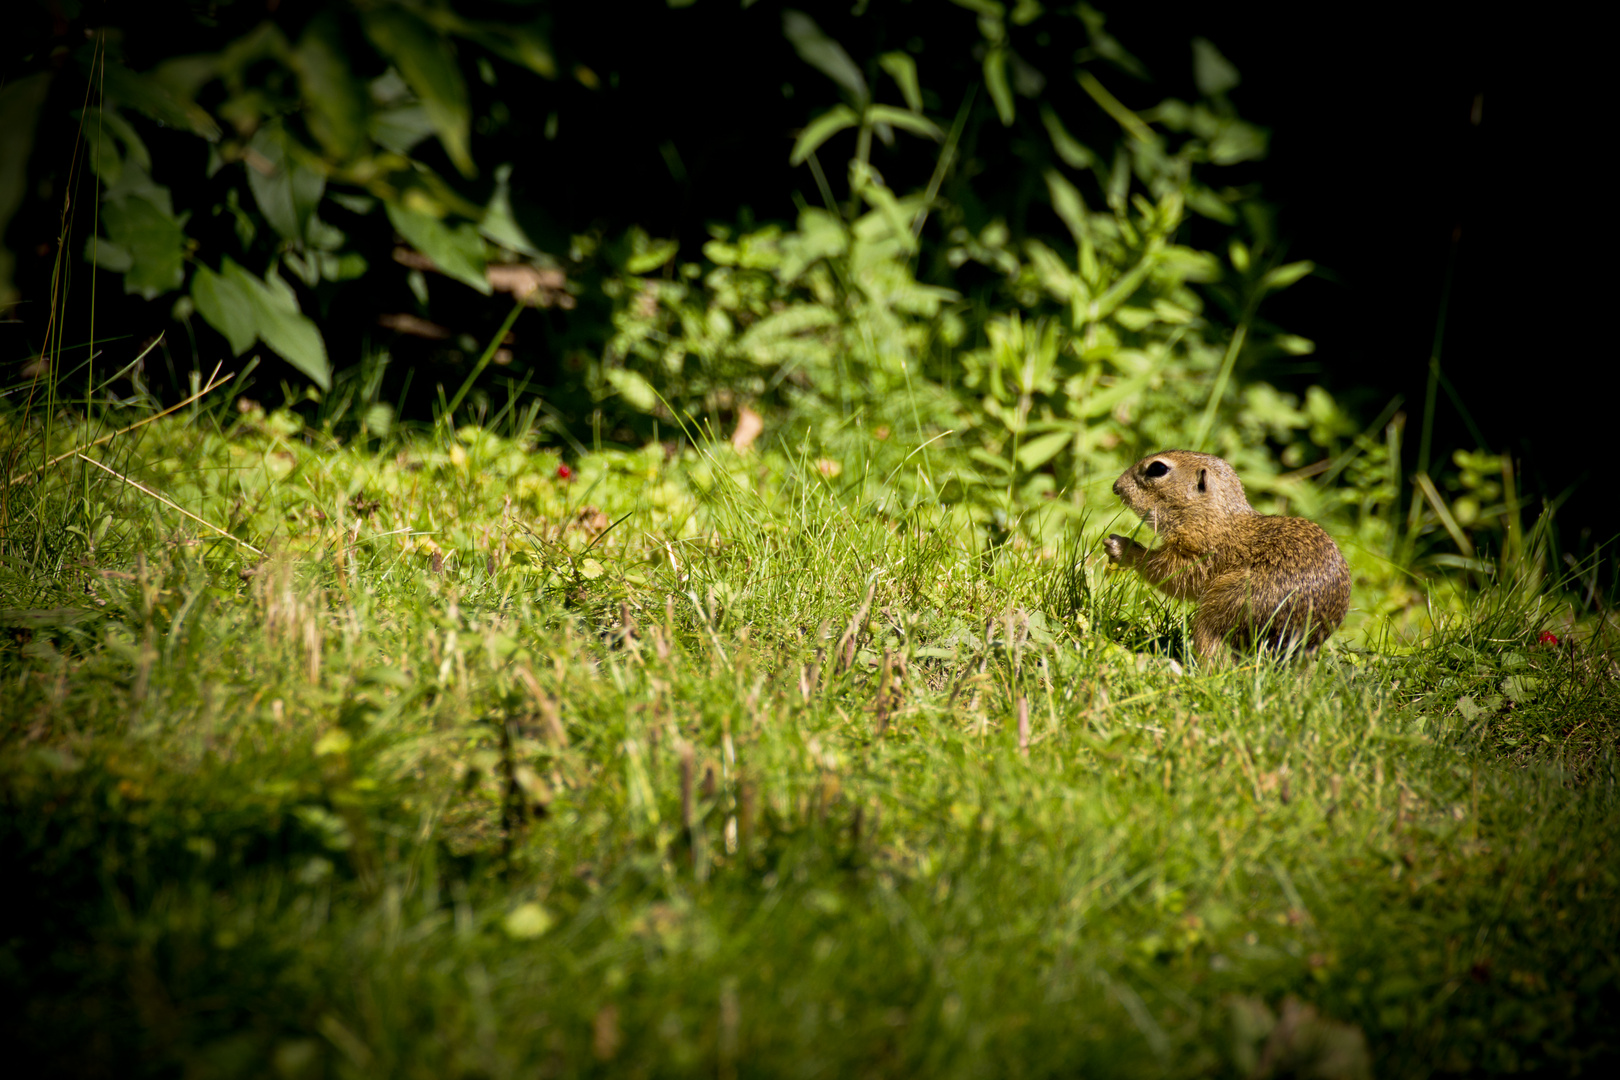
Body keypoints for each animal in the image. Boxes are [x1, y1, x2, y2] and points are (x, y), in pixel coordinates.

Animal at [1101, 446, 1354, 660]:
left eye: (1157, 469)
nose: (1115, 486)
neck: (1211, 515)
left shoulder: (1197, 554)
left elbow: (1168, 574)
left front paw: (1121, 548)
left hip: (1225, 608)